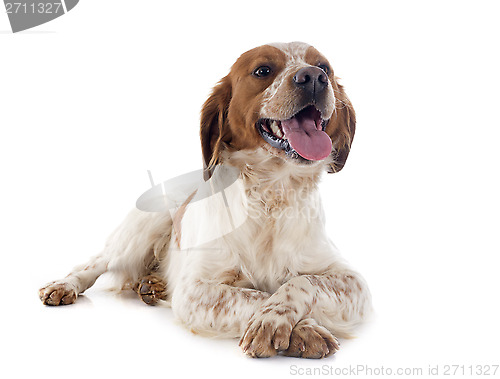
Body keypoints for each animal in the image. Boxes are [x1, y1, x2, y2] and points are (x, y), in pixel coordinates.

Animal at [39, 41, 372, 360]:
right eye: (263, 71)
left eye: (324, 67)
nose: (314, 77)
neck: (271, 195)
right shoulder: (195, 291)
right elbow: (254, 296)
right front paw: (299, 329)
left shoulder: (353, 282)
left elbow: (301, 283)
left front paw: (282, 320)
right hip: (143, 226)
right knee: (95, 262)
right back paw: (64, 285)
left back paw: (153, 285)